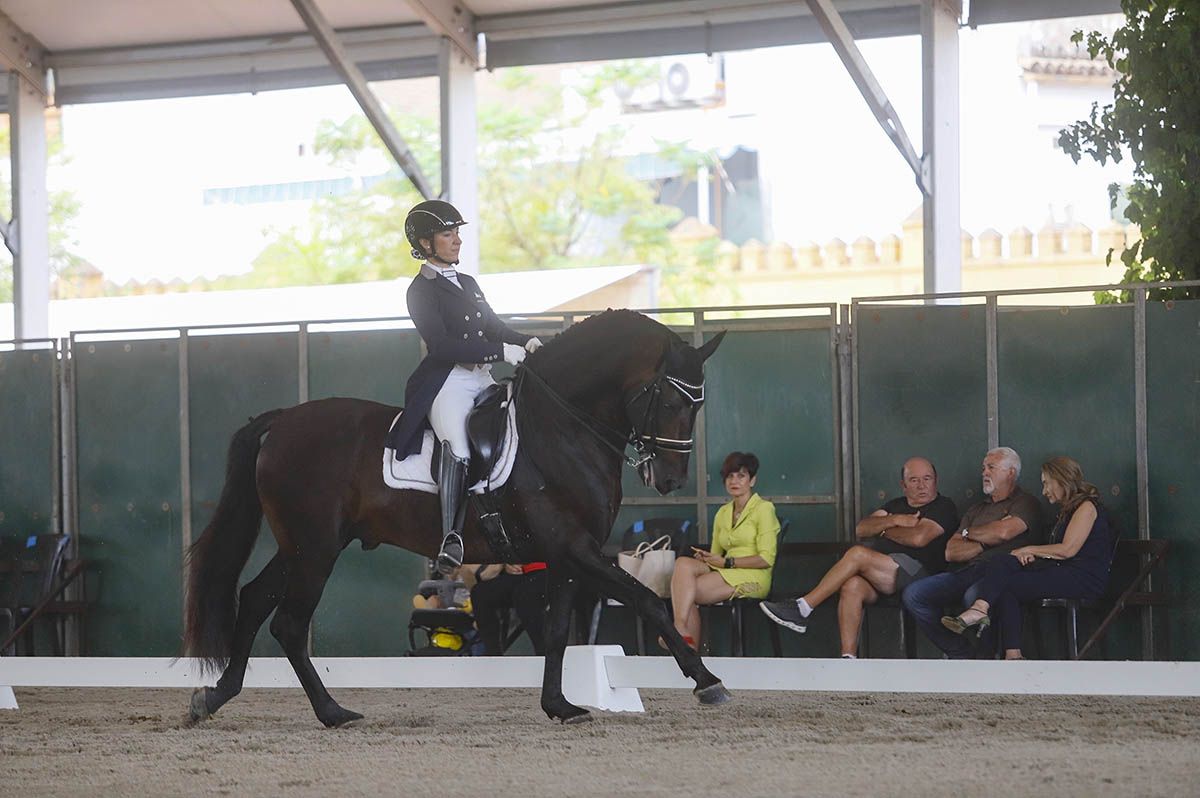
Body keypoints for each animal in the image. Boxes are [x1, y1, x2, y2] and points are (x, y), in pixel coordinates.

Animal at [182, 307, 724, 724]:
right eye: (669, 398)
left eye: (700, 403)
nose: (670, 479)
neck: (560, 426)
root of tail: (282, 422)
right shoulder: (576, 548)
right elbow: (648, 602)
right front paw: (707, 682)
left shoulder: (565, 555)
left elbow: (555, 634)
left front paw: (560, 706)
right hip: (313, 548)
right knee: (290, 624)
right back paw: (332, 713)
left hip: (304, 545)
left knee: (255, 600)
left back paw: (215, 698)